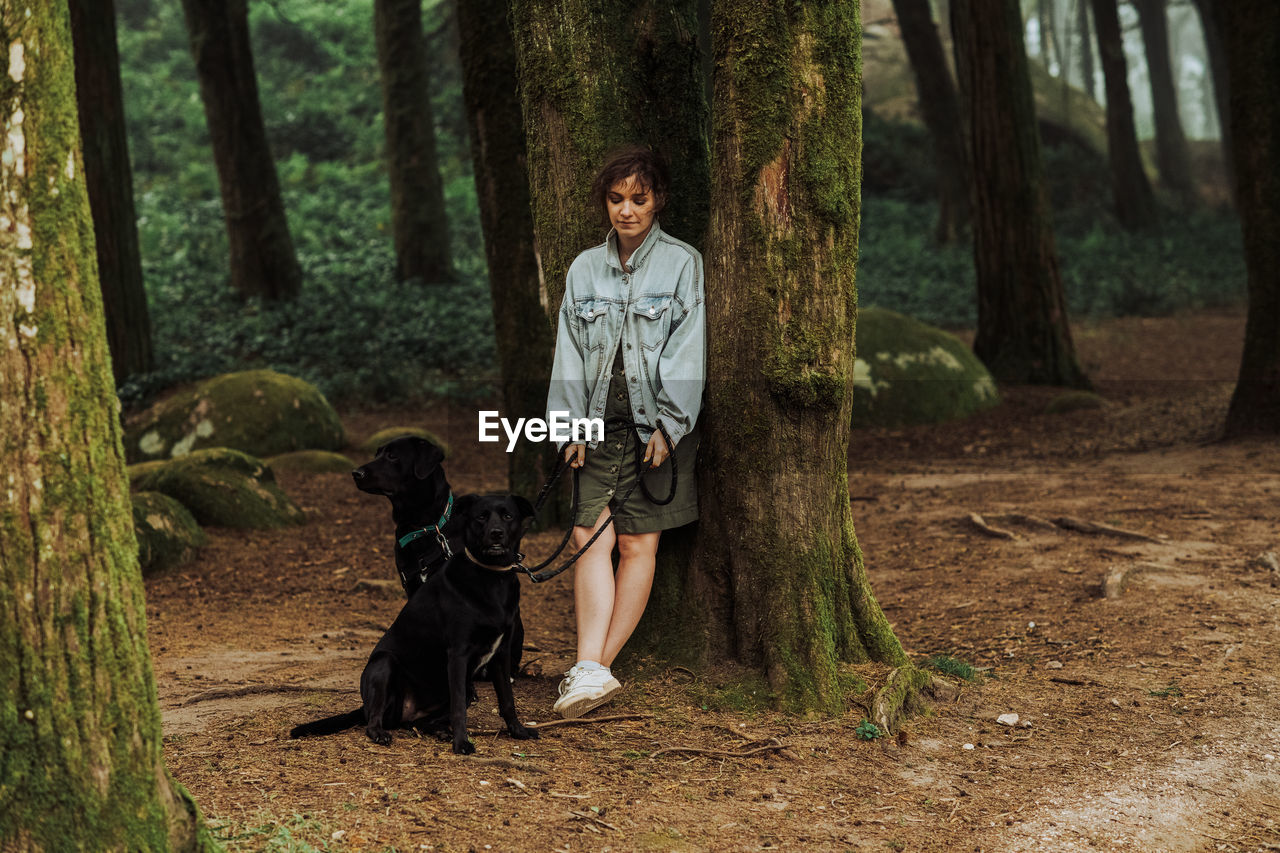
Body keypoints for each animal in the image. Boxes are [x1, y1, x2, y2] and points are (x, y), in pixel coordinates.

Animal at [291, 491, 540, 753]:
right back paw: (381, 733)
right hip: (384, 664)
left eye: (508, 516)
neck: (492, 576)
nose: (496, 533)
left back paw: (439, 730)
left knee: (419, 723)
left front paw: (518, 731)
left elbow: (507, 699)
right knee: (374, 719)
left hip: (461, 692)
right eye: (481, 517)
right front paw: (461, 743)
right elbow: (458, 710)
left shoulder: (501, 654)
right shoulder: (458, 654)